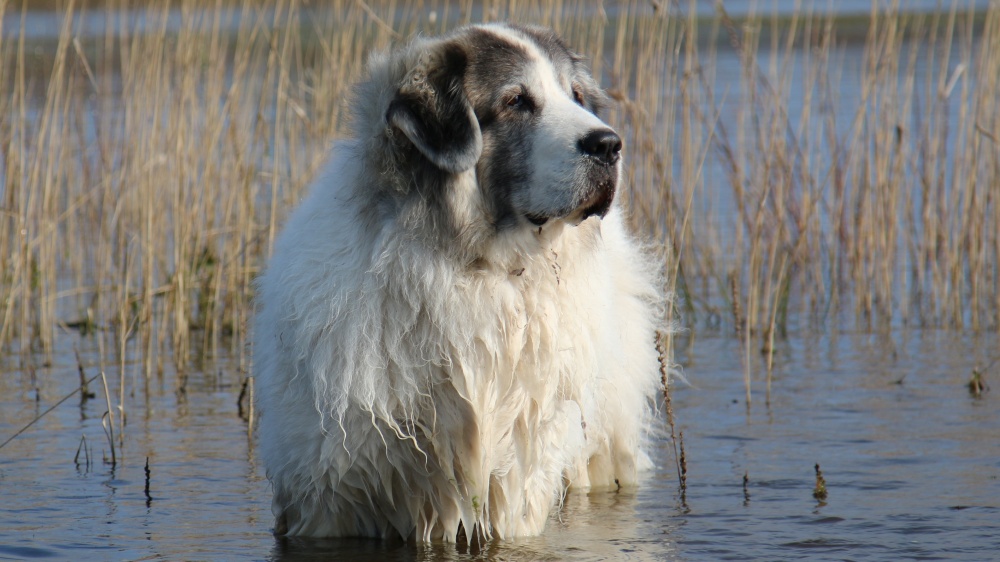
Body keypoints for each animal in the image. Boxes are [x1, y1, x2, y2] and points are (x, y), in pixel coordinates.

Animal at [254, 24, 668, 540]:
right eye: (516, 101)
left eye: (575, 96)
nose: (609, 144)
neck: (478, 268)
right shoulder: (329, 498)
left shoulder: (515, 483)